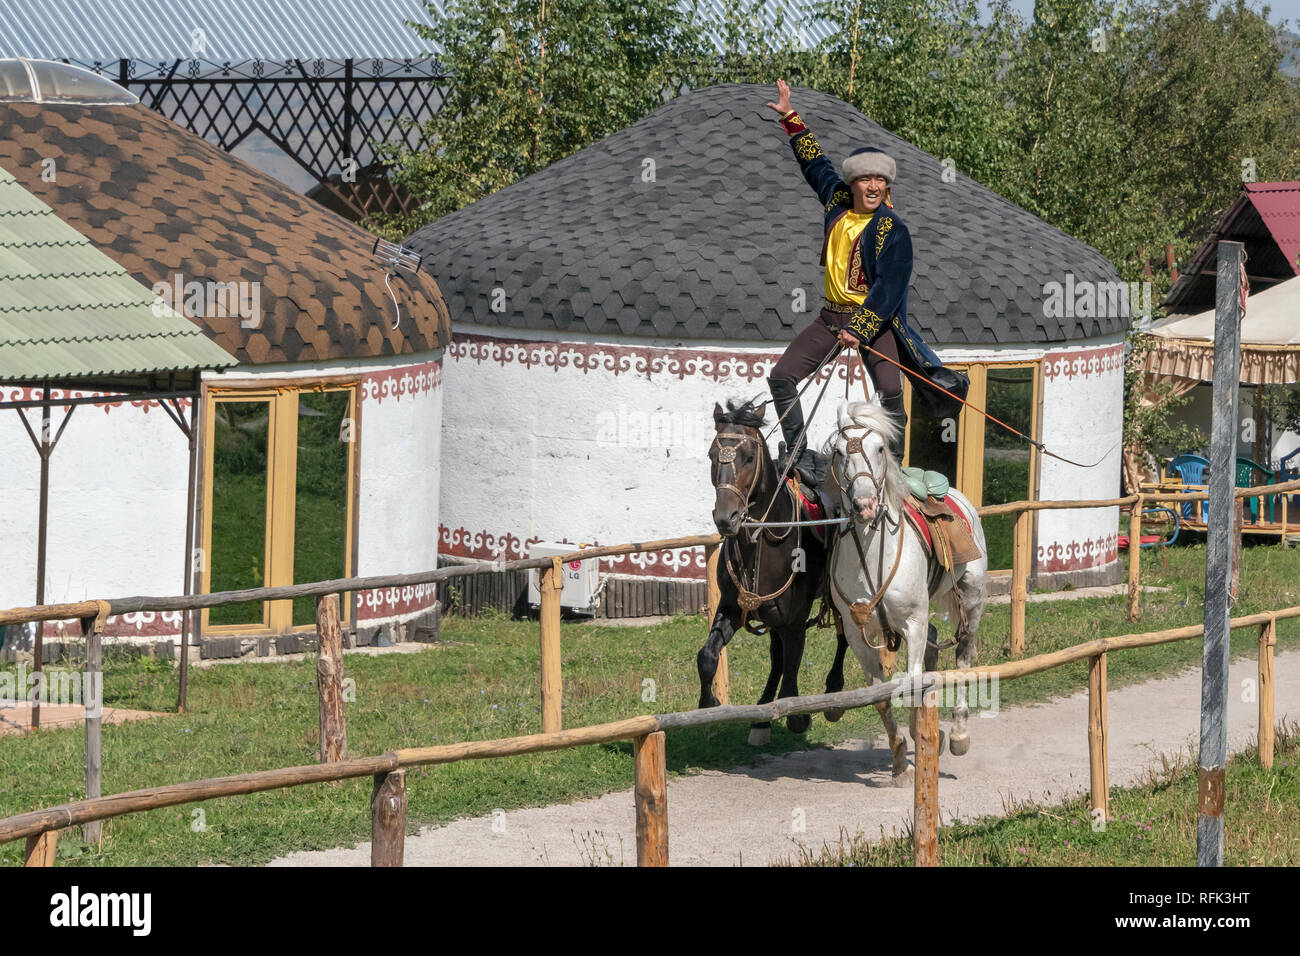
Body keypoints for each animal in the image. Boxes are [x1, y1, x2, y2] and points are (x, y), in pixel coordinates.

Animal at [696, 400, 847, 743]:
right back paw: (762, 715)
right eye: (712, 454)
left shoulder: (794, 619)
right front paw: (709, 704)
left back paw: (834, 691)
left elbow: (791, 668)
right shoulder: (732, 606)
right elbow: (707, 656)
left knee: (844, 635)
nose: (726, 517)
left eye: (749, 457)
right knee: (777, 654)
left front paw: (799, 717)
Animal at [826, 400, 987, 780]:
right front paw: (900, 754)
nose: (865, 505)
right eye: (838, 452)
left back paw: (958, 733)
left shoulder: (912, 624)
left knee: (963, 658)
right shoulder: (857, 634)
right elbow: (880, 695)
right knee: (934, 647)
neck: (873, 558)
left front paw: (927, 736)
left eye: (880, 448)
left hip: (971, 603)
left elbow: (912, 685)